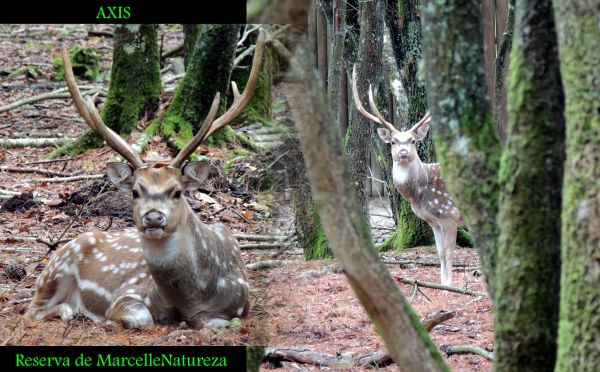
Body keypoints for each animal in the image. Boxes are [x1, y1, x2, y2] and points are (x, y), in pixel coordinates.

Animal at [25, 32, 264, 328]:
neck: (193, 298)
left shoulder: (242, 306)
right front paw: (107, 318)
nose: (153, 217)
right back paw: (72, 310)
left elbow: (218, 322)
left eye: (177, 192)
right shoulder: (128, 293)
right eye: (136, 192)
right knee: (33, 310)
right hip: (57, 266)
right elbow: (143, 317)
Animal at [352, 66, 464, 284]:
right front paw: (441, 283)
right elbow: (439, 252)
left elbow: (448, 252)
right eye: (393, 141)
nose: (403, 152)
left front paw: (449, 285)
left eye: (412, 140)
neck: (420, 195)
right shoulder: (433, 221)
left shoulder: (449, 214)